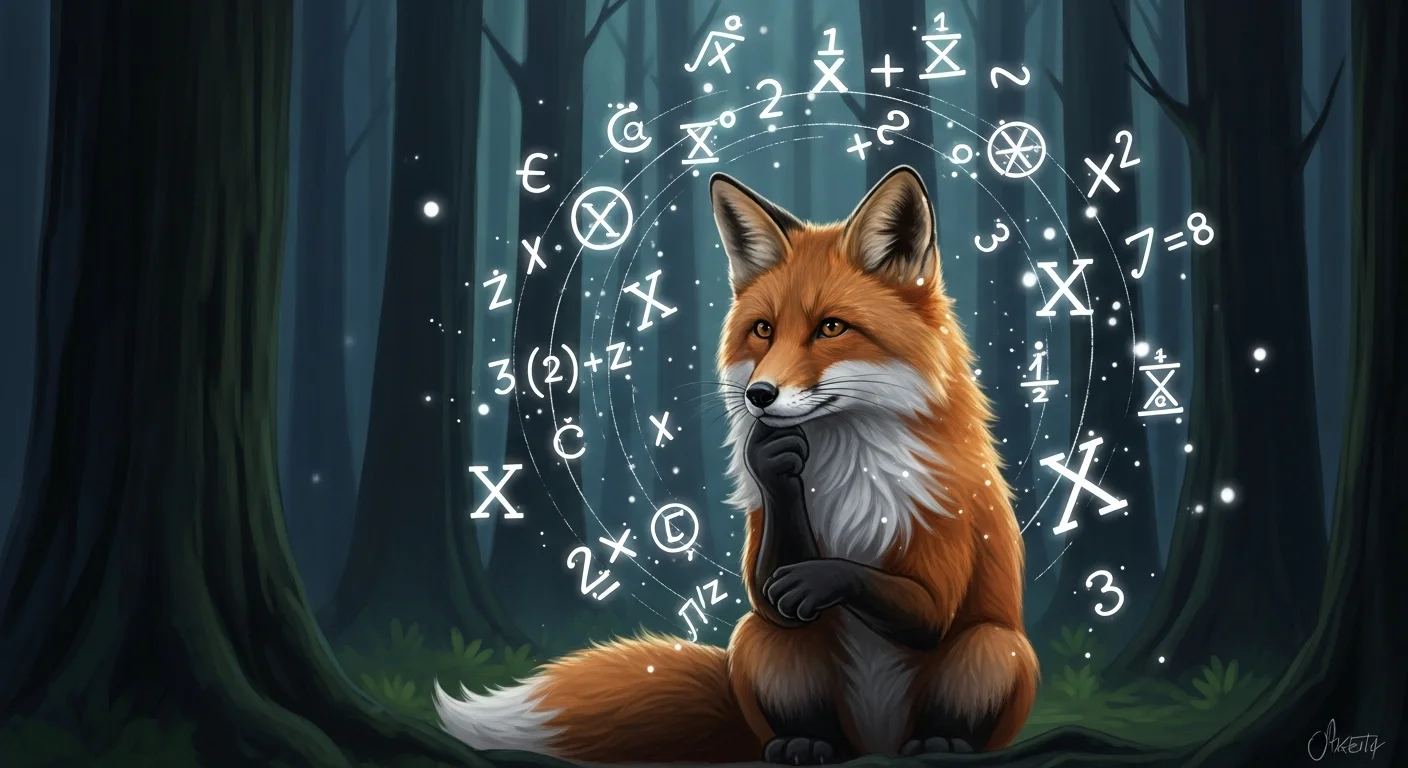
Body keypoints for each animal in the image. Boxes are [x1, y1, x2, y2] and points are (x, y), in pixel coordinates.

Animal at [434, 166, 1037, 763]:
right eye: (764, 329)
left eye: (832, 328)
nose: (759, 396)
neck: (848, 466)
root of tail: (877, 743)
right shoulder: (767, 545)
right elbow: (771, 590)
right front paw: (771, 461)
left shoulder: (941, 546)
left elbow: (921, 609)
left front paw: (824, 575)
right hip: (756, 642)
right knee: (792, 685)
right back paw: (804, 743)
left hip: (995, 646)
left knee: (967, 673)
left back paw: (942, 741)